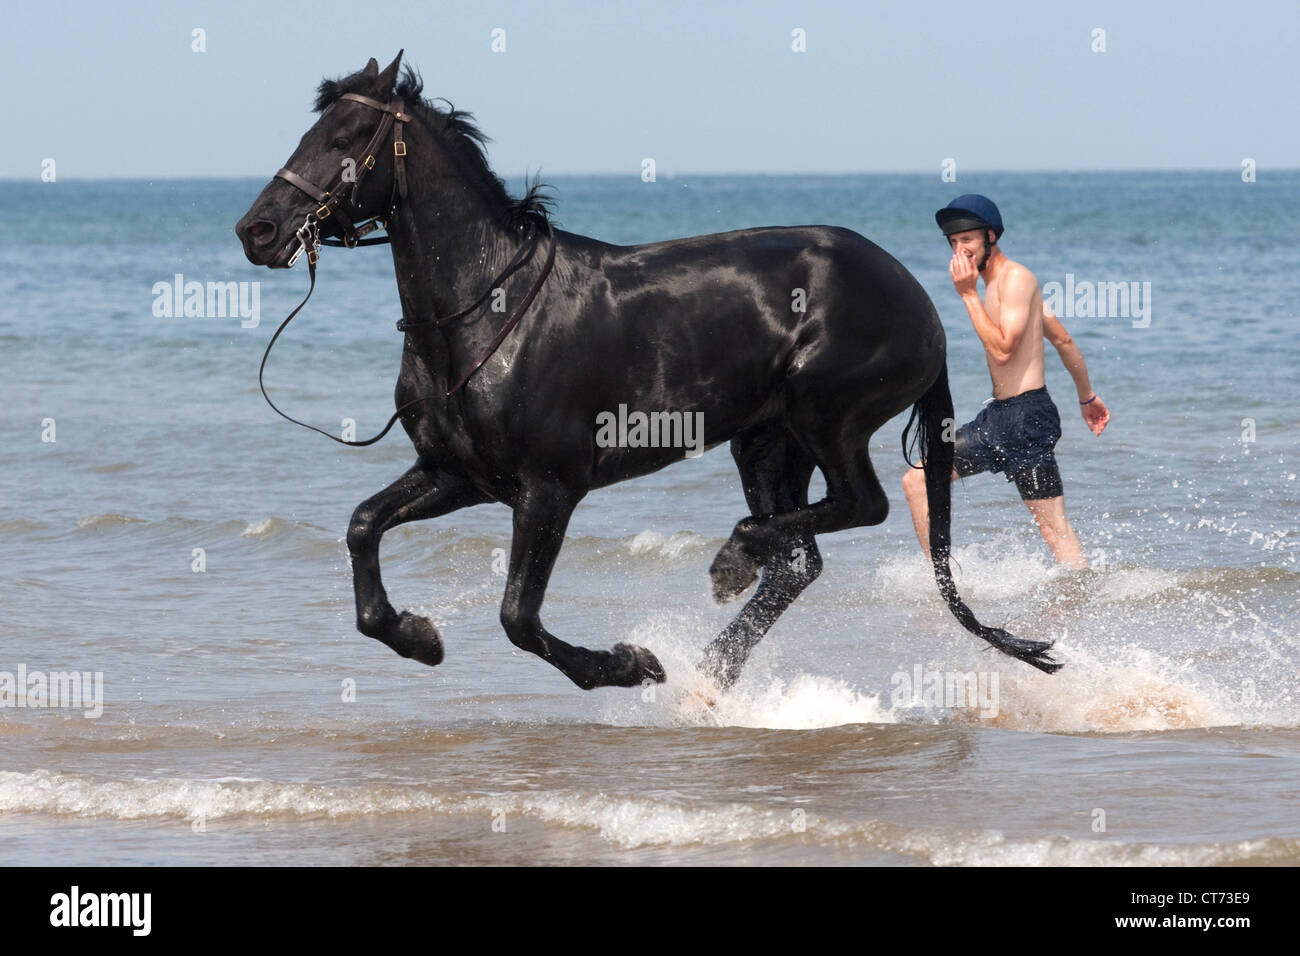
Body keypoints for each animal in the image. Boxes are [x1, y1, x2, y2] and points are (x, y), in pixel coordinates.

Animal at [239, 52, 1060, 691]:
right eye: (311, 131)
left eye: (346, 137)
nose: (259, 230)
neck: (486, 312)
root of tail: (919, 302)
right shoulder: (457, 475)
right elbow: (362, 528)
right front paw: (417, 636)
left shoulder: (549, 489)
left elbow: (517, 617)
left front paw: (629, 664)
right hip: (768, 441)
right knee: (798, 562)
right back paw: (711, 669)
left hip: (827, 416)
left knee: (859, 507)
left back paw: (728, 567)